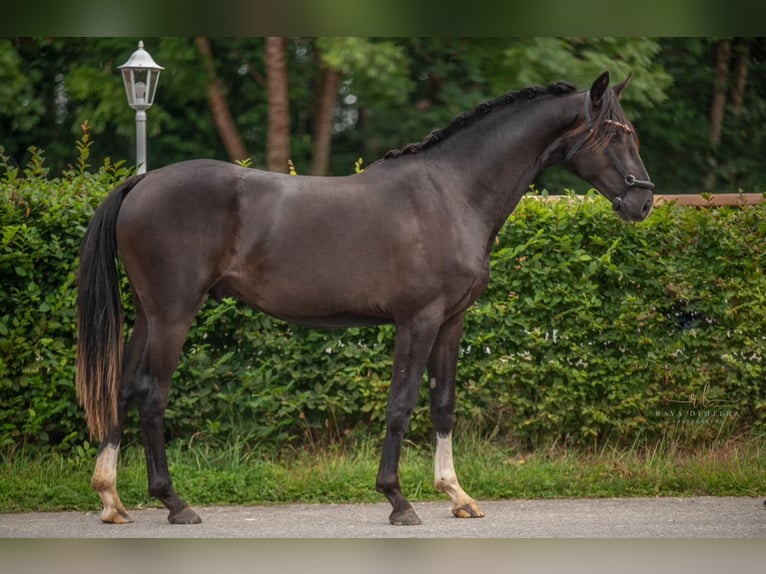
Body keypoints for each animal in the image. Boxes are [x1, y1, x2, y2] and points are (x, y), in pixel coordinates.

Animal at [76, 71, 656, 528]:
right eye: (615, 133)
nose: (644, 202)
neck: (452, 193)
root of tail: (141, 184)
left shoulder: (451, 322)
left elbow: (443, 403)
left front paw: (457, 494)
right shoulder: (417, 320)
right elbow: (400, 404)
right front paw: (398, 499)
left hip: (148, 316)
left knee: (122, 389)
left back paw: (112, 499)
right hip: (173, 315)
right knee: (152, 395)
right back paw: (174, 503)